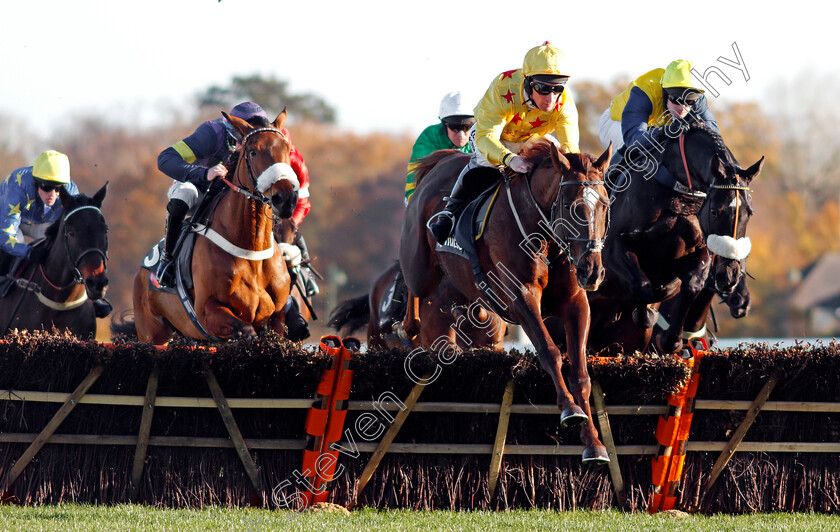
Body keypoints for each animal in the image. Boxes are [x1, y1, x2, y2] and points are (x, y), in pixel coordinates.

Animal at [131, 112, 298, 344]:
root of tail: (141, 269)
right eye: (253, 152)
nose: (285, 199)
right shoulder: (207, 311)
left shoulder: (278, 319)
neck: (251, 249)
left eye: (287, 149)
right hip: (152, 333)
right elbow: (246, 331)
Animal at [400, 141, 612, 466]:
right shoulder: (521, 296)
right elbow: (550, 352)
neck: (545, 235)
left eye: (604, 205)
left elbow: (580, 371)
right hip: (420, 265)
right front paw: (569, 409)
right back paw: (408, 326)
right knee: (413, 285)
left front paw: (593, 444)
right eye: (569, 206)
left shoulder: (575, 301)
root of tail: (443, 159)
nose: (593, 271)